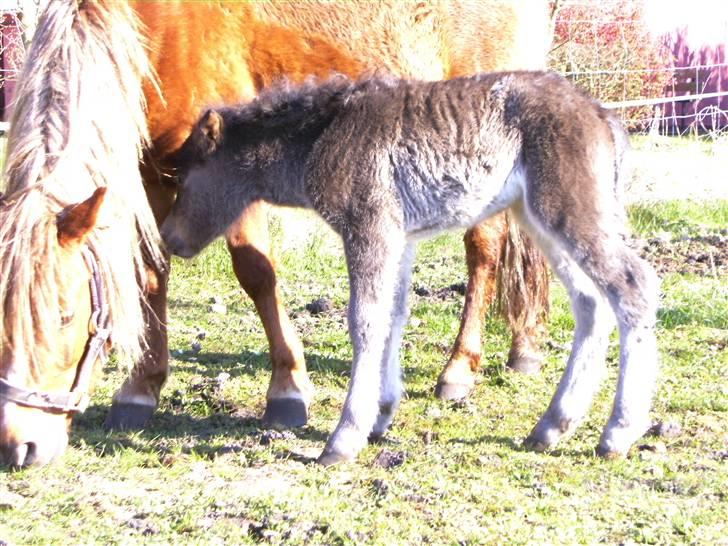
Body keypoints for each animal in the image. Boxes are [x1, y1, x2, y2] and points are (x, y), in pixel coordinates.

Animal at [0, 2, 544, 466]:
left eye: (66, 315)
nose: (19, 447)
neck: (156, 27)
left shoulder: (232, 171)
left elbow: (256, 272)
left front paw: (287, 390)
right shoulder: (151, 170)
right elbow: (152, 275)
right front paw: (140, 390)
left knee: (485, 252)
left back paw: (459, 369)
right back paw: (523, 349)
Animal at [164, 71, 660, 464]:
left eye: (184, 176)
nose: (170, 237)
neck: (318, 138)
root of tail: (604, 117)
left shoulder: (370, 226)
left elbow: (365, 320)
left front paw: (343, 438)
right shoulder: (399, 238)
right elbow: (393, 315)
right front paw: (381, 414)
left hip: (568, 212)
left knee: (633, 286)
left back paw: (617, 433)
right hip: (539, 219)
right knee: (591, 303)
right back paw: (552, 426)